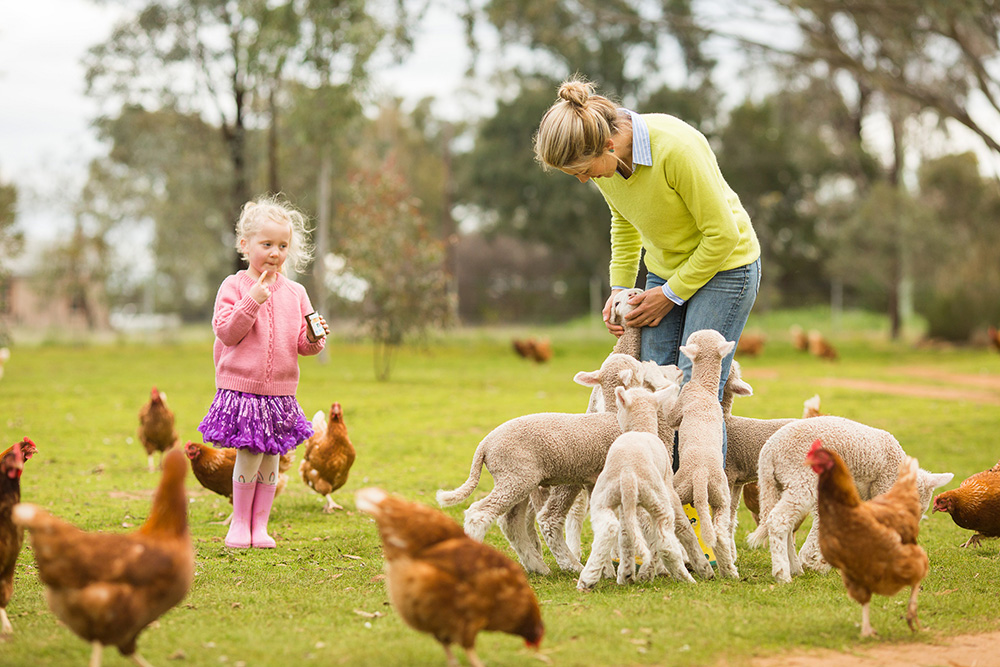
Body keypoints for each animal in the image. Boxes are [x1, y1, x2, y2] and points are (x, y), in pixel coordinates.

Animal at [580, 386, 696, 588]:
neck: (642, 428)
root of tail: (628, 472)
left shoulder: (623, 507)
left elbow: (626, 537)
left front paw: (626, 573)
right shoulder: (667, 482)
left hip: (604, 496)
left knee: (609, 528)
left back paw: (588, 579)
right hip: (657, 497)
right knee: (665, 541)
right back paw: (681, 577)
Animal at [664, 328, 744, 580]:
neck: (705, 388)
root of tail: (701, 475)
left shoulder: (680, 407)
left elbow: (671, 417)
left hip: (679, 488)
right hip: (721, 496)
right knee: (720, 533)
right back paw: (730, 571)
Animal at [752, 418, 952, 584]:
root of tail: (768, 453)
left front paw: (820, 563)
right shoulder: (883, 485)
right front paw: (817, 563)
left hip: (778, 484)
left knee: (782, 522)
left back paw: (794, 567)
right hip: (801, 477)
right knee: (778, 519)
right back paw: (783, 574)